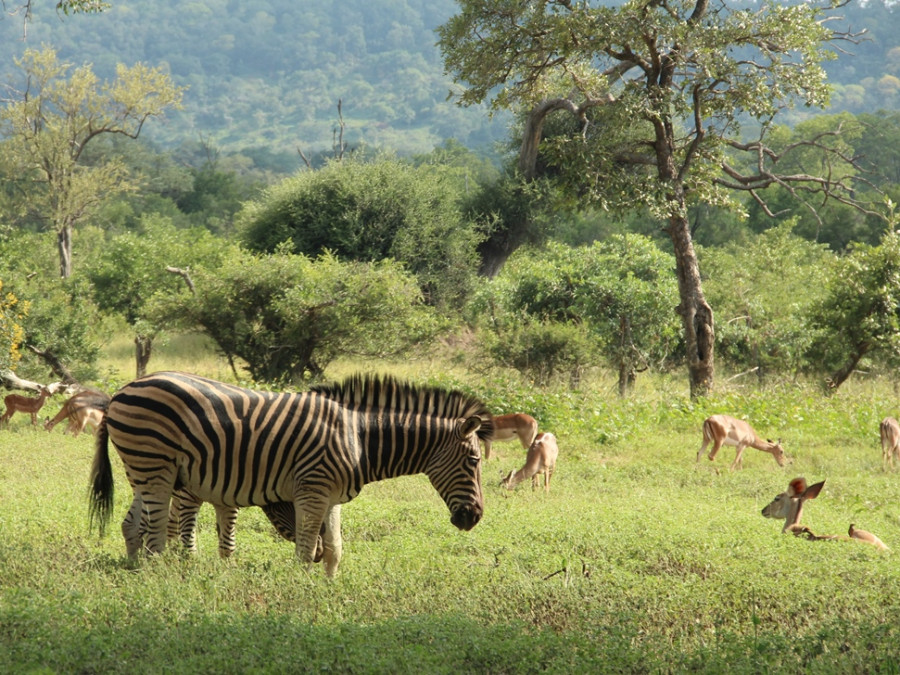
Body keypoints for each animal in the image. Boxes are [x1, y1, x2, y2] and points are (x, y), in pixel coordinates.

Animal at [89, 370, 492, 576]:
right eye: (474, 462)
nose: (474, 518)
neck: (358, 437)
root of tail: (121, 391)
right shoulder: (312, 490)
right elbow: (305, 548)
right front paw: (300, 590)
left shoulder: (331, 496)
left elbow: (334, 548)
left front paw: (329, 588)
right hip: (158, 466)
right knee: (156, 530)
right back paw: (159, 576)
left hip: (144, 470)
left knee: (132, 524)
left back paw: (134, 569)